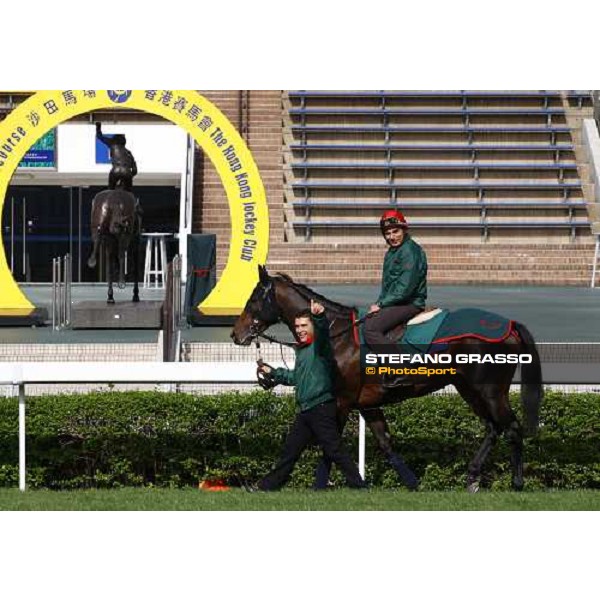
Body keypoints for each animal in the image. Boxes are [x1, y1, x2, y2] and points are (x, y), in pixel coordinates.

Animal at [230, 266, 544, 492]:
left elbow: (330, 443)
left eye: (254, 297)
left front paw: (321, 483)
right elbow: (385, 442)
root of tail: (509, 325)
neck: (335, 334)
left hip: (490, 391)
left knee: (512, 428)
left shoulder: (342, 401)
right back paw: (473, 476)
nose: (235, 333)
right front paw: (411, 482)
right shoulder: (367, 404)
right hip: (469, 389)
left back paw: (516, 483)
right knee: (493, 428)